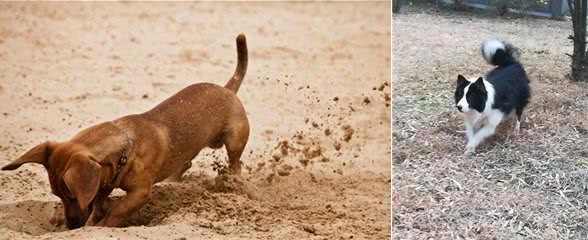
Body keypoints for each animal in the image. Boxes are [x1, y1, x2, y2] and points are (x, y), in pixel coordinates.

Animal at [0, 33, 248, 229]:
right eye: (56, 195)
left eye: (72, 195)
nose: (72, 226)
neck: (127, 145)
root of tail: (227, 89)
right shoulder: (102, 184)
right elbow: (100, 203)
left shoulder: (139, 193)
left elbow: (116, 210)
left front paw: (101, 226)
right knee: (184, 164)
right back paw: (173, 181)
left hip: (235, 140)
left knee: (235, 163)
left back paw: (233, 182)